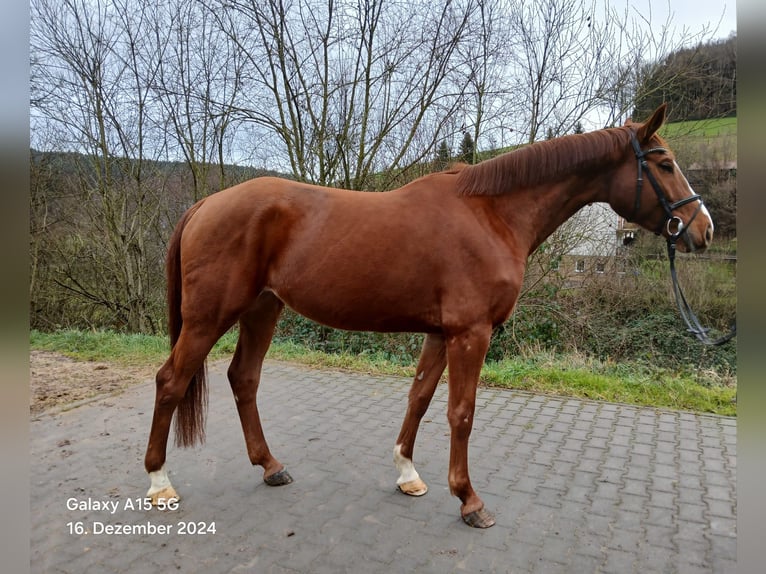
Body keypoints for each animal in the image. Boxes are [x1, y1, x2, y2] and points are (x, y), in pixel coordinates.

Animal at [146, 106, 720, 528]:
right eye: (664, 163)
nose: (704, 230)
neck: (491, 215)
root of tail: (205, 205)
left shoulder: (442, 334)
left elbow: (420, 398)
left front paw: (407, 473)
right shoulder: (471, 333)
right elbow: (461, 413)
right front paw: (469, 500)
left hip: (262, 310)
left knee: (244, 379)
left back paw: (271, 467)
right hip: (209, 318)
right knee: (171, 380)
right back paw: (159, 482)